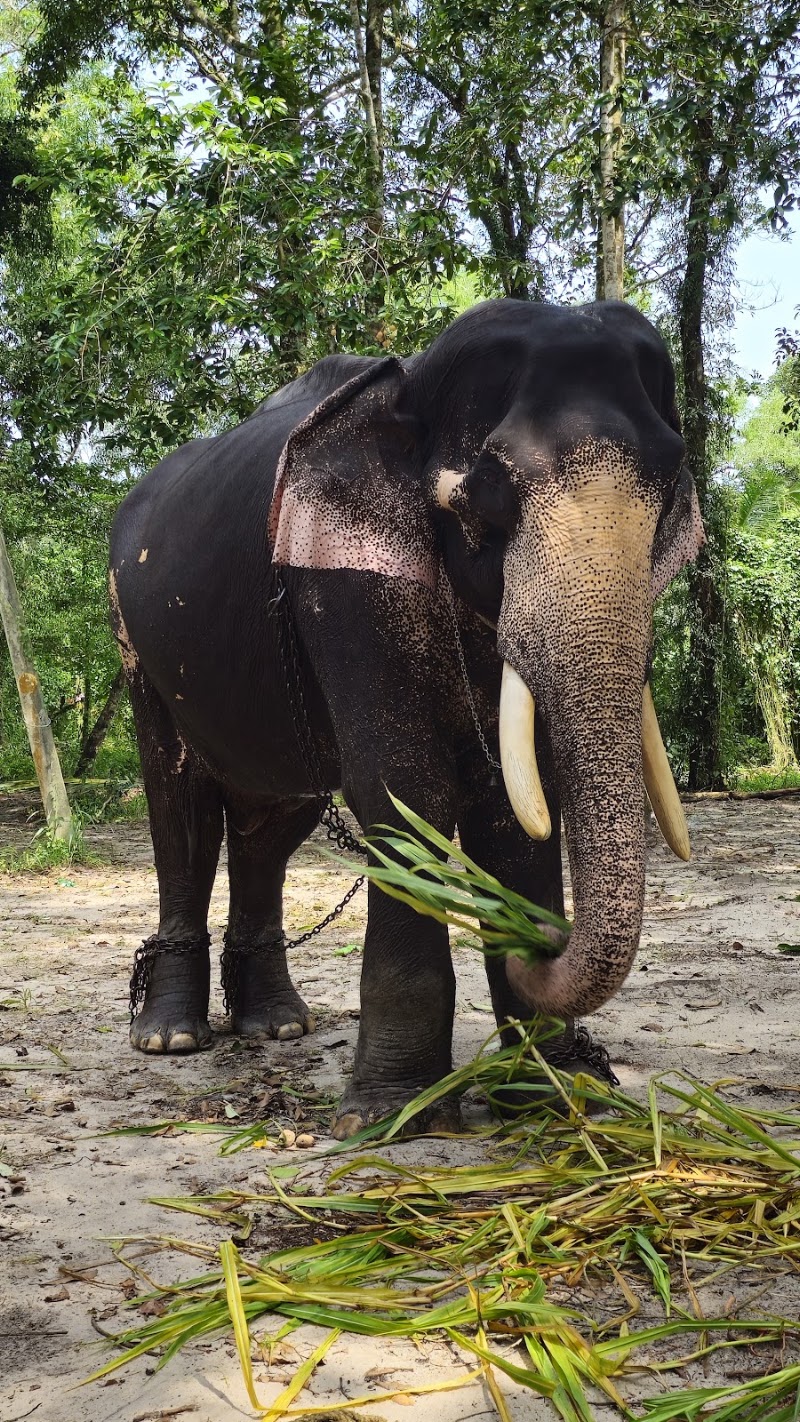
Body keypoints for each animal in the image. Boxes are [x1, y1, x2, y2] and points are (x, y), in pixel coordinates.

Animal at [109, 297, 704, 1139]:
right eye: (489, 488)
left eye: (671, 481)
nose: (540, 943)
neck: (415, 383)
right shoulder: (343, 575)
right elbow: (405, 785)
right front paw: (395, 1115)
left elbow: (516, 804)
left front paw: (551, 1092)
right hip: (137, 641)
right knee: (180, 808)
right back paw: (172, 1038)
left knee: (270, 822)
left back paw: (278, 1025)